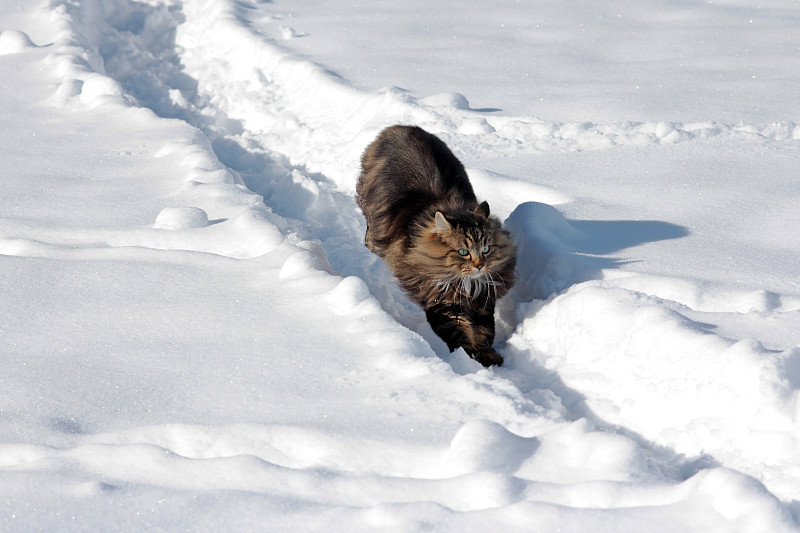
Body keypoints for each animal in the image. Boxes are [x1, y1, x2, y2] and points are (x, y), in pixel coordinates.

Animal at [356, 124, 520, 366]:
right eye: (463, 252)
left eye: (486, 249)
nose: (480, 265)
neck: (465, 284)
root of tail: (401, 126)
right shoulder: (442, 301)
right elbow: (459, 332)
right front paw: (469, 356)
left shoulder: (482, 301)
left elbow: (484, 331)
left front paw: (488, 355)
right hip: (372, 211)